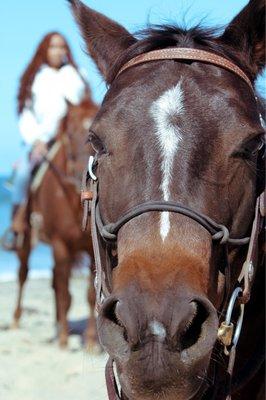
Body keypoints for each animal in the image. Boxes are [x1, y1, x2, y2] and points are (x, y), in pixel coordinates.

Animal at [12, 96, 100, 346]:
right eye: (69, 134)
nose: (85, 176)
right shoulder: (60, 244)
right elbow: (64, 291)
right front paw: (63, 341)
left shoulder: (90, 249)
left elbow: (89, 294)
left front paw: (91, 342)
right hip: (25, 241)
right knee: (23, 274)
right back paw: (17, 321)